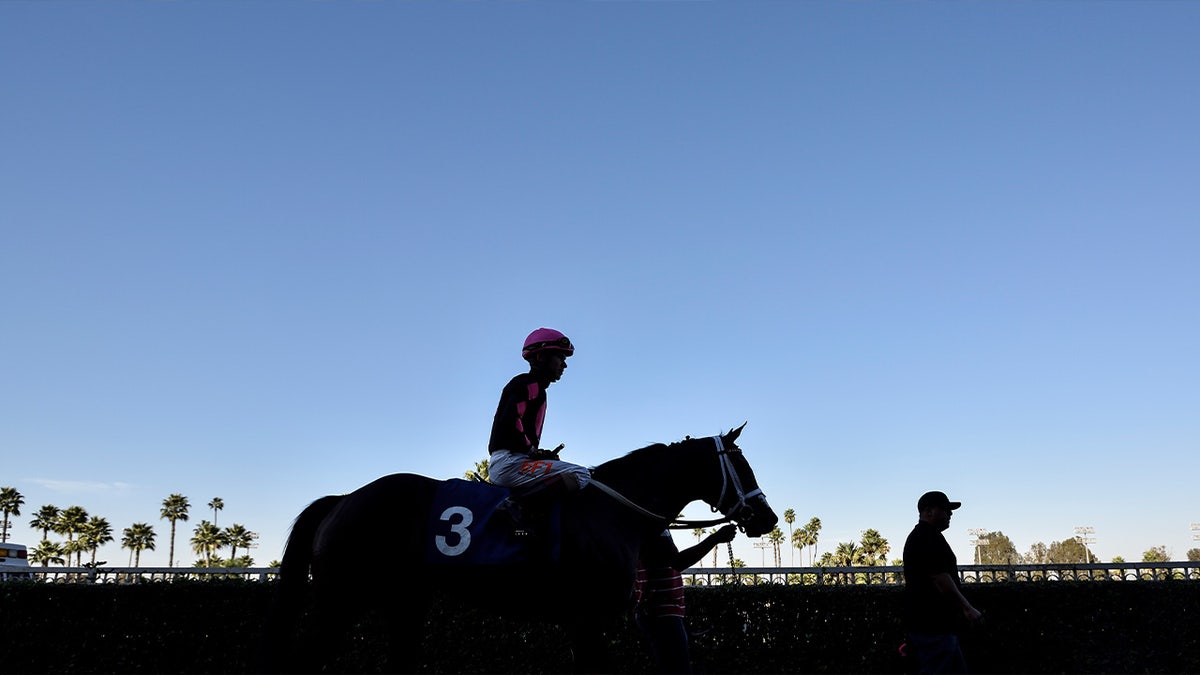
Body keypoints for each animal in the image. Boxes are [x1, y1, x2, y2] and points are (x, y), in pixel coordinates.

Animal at [262, 422, 777, 667]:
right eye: (743, 465)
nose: (767, 517)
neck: (613, 509)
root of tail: (343, 499)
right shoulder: (588, 617)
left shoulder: (581, 621)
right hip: (340, 601)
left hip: (405, 602)